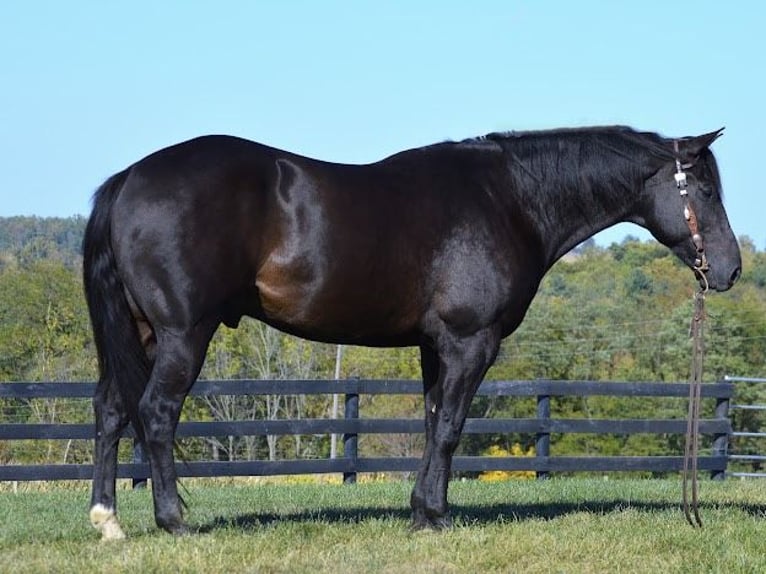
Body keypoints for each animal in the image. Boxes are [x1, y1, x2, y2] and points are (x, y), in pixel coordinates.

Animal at [84, 125, 744, 540]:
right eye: (706, 189)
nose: (731, 269)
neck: (509, 199)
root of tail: (129, 179)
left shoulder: (434, 347)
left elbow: (431, 425)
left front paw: (422, 513)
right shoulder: (470, 341)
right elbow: (449, 428)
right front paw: (436, 516)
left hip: (141, 334)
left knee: (111, 410)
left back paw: (108, 520)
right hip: (182, 333)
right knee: (157, 412)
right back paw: (174, 520)